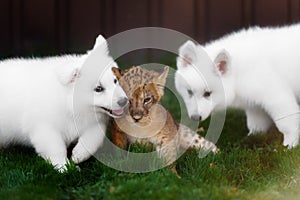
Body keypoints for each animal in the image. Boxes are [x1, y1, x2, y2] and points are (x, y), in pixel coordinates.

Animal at [0, 35, 127, 171]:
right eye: (98, 89)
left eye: (115, 80)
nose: (124, 101)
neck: (70, 104)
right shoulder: (44, 129)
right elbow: (56, 148)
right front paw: (64, 167)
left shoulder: (95, 123)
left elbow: (94, 138)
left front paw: (78, 155)